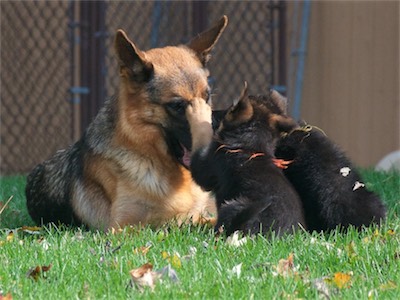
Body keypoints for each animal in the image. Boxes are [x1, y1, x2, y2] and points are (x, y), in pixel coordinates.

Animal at [185, 85, 306, 237]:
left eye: (230, 109)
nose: (212, 113)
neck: (250, 146)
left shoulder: (207, 166)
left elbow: (201, 135)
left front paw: (198, 110)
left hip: (232, 206)